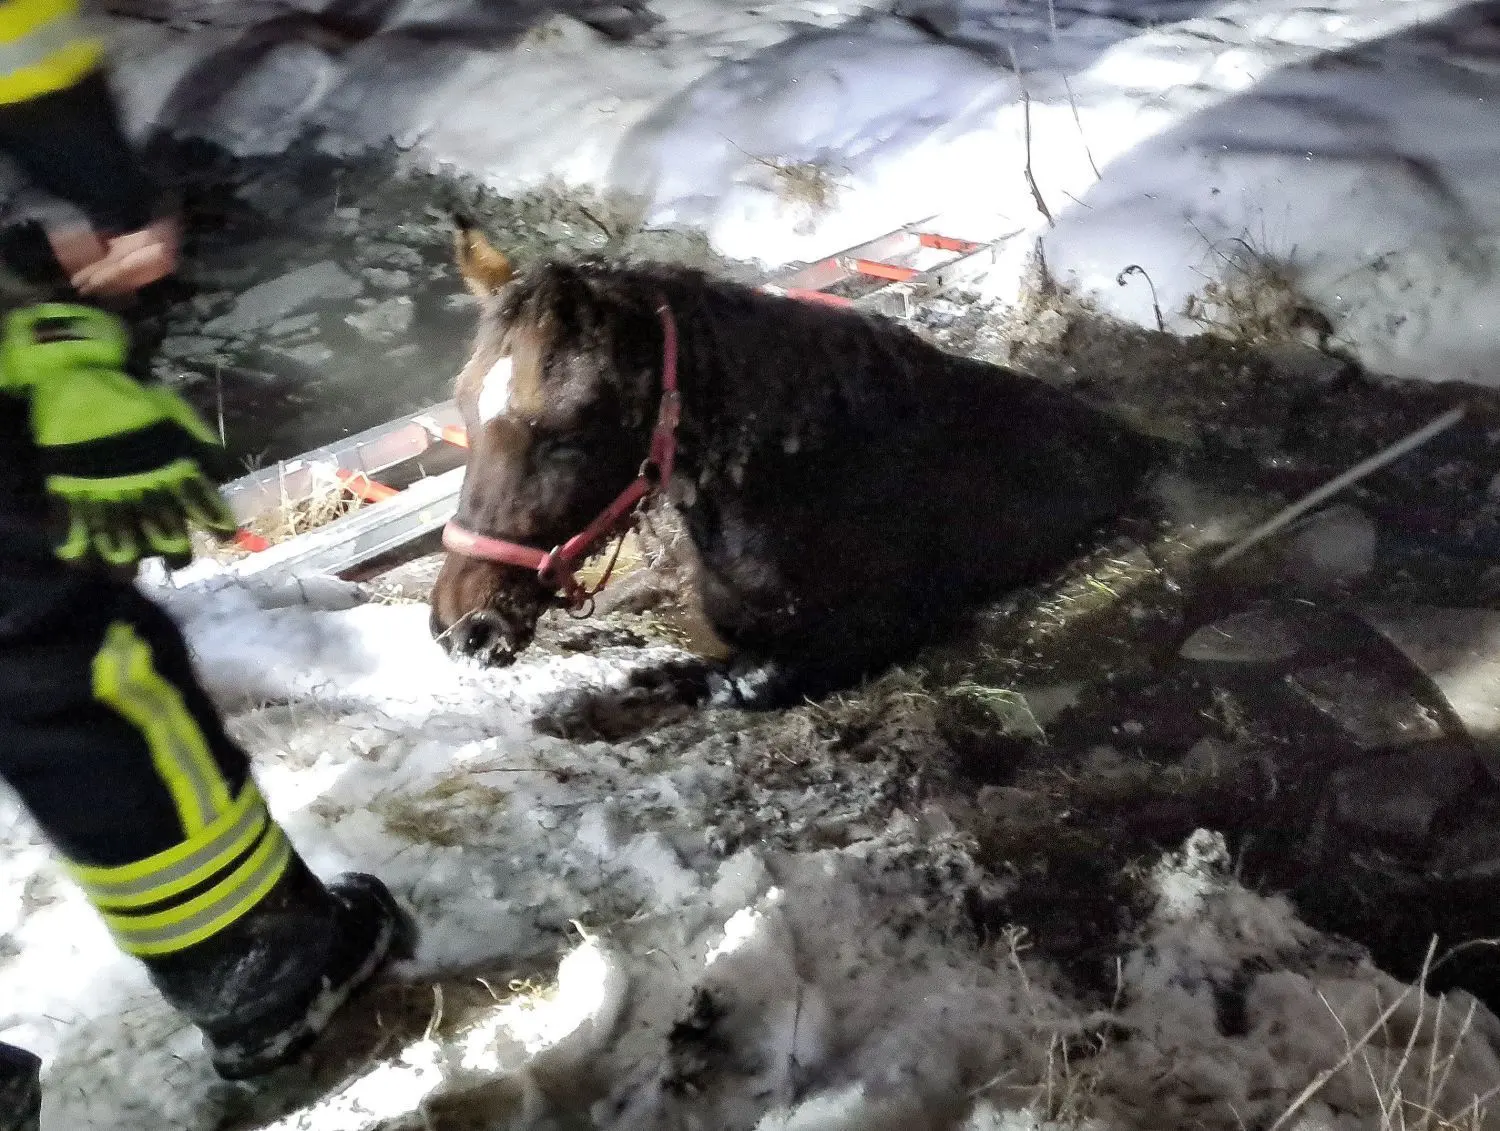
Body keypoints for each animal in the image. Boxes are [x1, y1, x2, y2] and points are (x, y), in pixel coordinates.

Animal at [429, 218, 1163, 708]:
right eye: (462, 403)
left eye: (568, 431)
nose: (465, 625)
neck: (808, 480)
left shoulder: (874, 634)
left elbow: (734, 687)